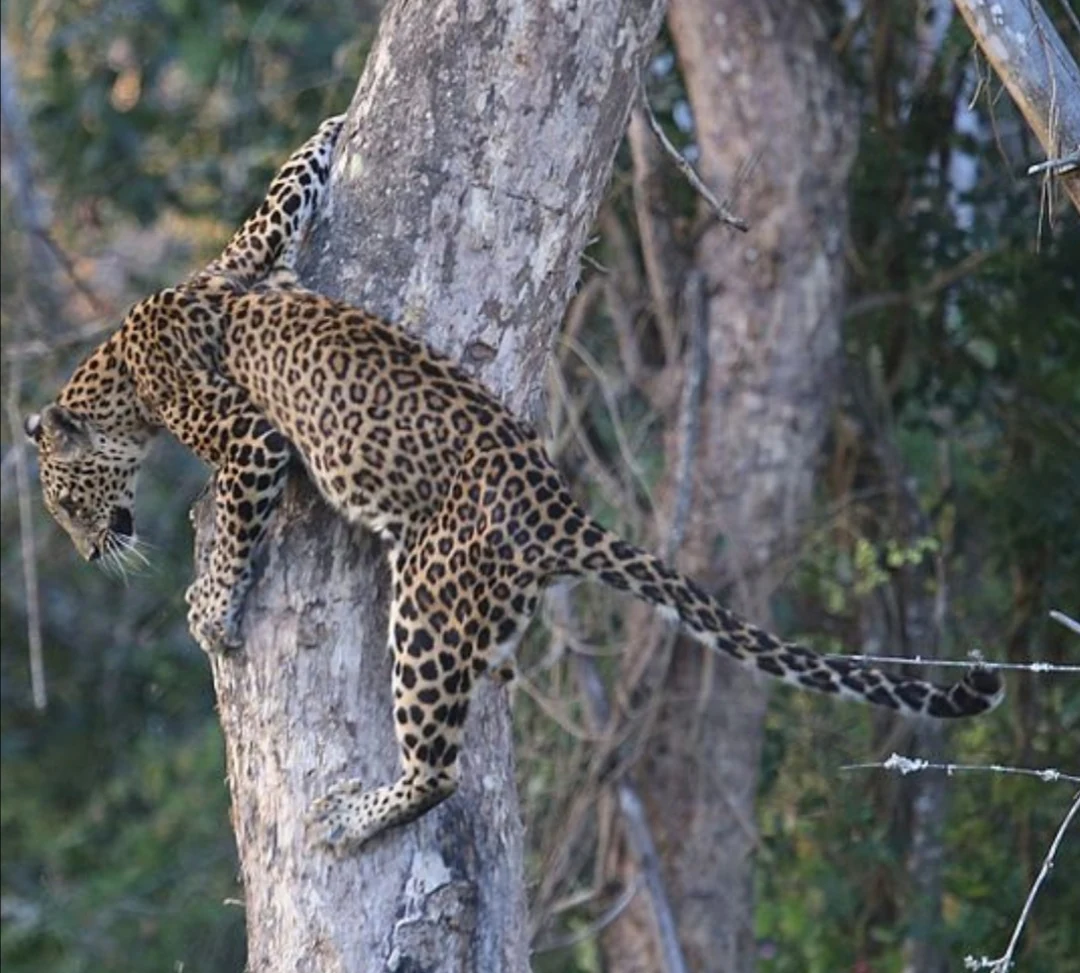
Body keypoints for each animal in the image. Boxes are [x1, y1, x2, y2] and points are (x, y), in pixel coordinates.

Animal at [25, 115, 1004, 855]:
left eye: (66, 506)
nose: (90, 550)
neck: (121, 365)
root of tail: (560, 509)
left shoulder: (250, 436)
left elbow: (231, 522)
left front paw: (211, 607)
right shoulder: (247, 260)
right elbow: (279, 199)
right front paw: (327, 132)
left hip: (427, 592)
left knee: (437, 768)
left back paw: (352, 817)